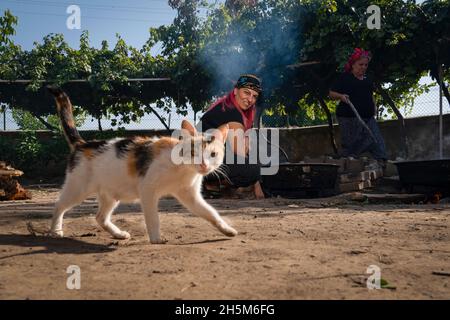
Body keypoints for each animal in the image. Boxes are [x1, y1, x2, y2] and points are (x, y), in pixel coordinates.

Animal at [48, 86, 239, 244]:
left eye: (213, 154)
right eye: (194, 153)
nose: (204, 166)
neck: (183, 170)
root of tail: (82, 144)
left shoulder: (190, 196)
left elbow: (211, 213)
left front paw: (227, 230)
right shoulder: (147, 190)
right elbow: (153, 218)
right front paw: (156, 239)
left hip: (110, 194)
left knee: (100, 217)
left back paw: (118, 234)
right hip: (78, 188)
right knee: (59, 205)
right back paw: (56, 230)